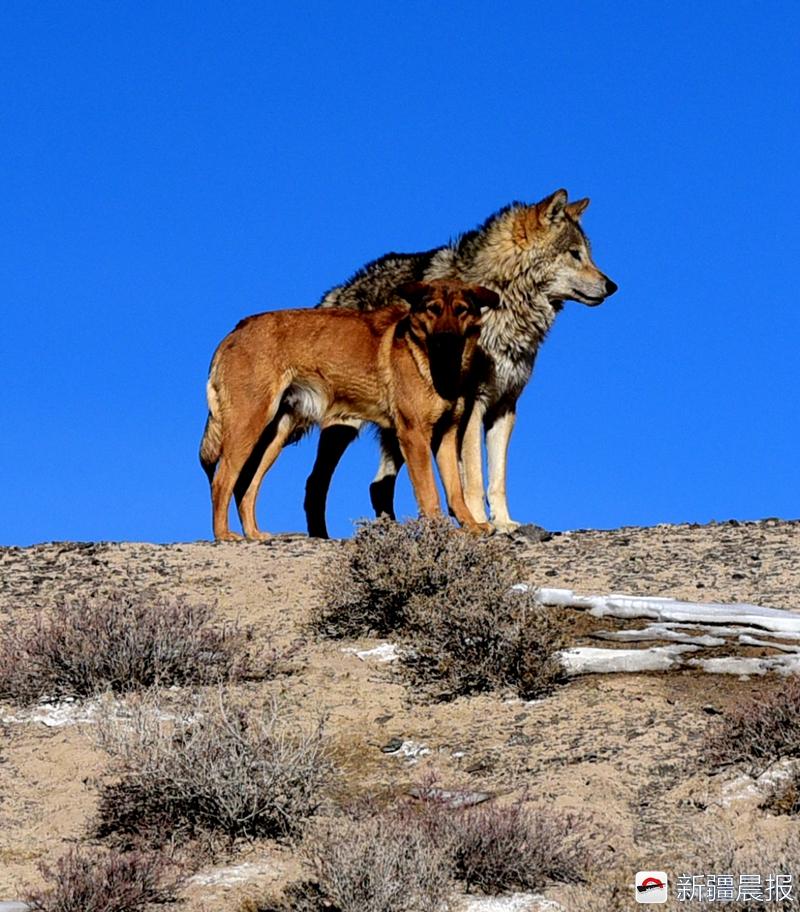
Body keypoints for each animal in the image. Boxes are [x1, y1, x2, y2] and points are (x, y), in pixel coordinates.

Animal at [199, 274, 496, 536]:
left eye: (461, 310)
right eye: (433, 309)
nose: (446, 340)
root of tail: (235, 332)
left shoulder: (446, 436)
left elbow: (455, 491)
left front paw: (471, 526)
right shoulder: (414, 435)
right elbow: (429, 492)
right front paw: (442, 530)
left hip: (273, 436)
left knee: (246, 486)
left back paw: (255, 534)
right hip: (248, 425)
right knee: (222, 481)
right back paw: (224, 535)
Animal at [304, 189, 620, 536]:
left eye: (588, 254)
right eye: (575, 254)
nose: (612, 286)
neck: (503, 303)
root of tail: (335, 293)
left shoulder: (504, 407)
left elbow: (497, 479)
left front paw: (504, 523)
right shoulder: (472, 405)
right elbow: (474, 477)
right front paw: (481, 522)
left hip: (401, 427)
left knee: (378, 486)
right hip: (345, 427)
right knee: (315, 484)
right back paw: (322, 536)